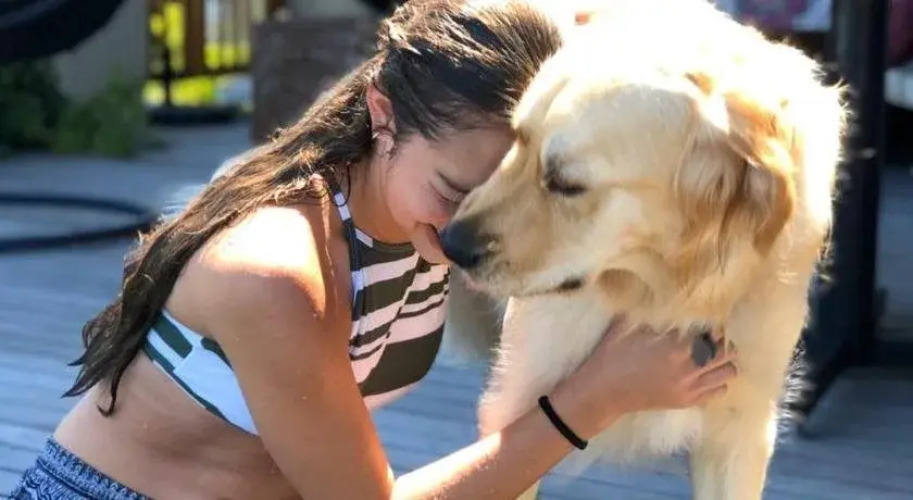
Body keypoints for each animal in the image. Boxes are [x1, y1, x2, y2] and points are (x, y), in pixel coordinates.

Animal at [439, 1, 846, 499]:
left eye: (567, 184)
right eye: (516, 139)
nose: (451, 245)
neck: (667, 292)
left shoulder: (739, 436)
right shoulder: (514, 416)